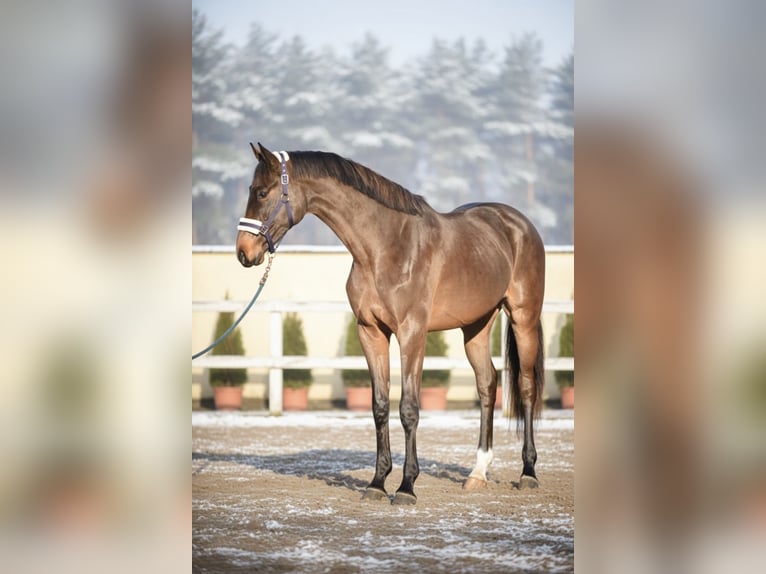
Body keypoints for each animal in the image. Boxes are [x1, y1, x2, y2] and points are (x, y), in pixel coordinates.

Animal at [236, 143, 546, 505]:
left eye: (262, 192)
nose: (243, 252)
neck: (385, 248)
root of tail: (518, 223)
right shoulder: (371, 332)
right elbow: (380, 406)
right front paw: (377, 482)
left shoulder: (412, 333)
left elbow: (408, 408)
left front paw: (406, 486)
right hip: (476, 326)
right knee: (487, 384)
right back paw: (478, 472)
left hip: (524, 318)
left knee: (526, 387)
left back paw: (528, 472)